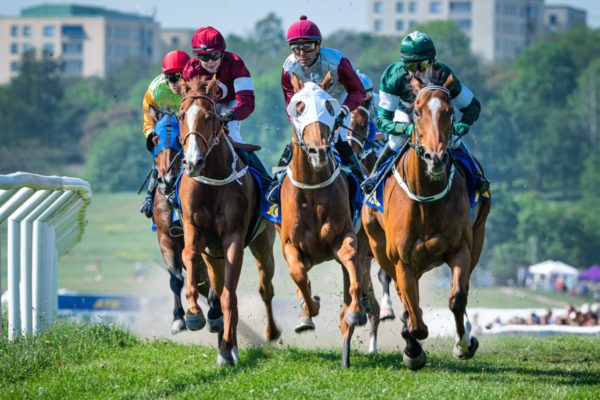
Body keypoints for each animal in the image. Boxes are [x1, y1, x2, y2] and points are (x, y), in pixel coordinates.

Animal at [146, 105, 219, 334]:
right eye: (155, 139)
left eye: (179, 139)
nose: (167, 180)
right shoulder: (166, 238)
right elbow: (176, 279)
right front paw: (178, 318)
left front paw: (213, 312)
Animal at [176, 74, 282, 366]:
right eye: (180, 115)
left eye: (210, 116)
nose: (193, 162)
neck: (212, 180)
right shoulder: (194, 230)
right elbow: (189, 255)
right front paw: (193, 313)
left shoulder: (234, 238)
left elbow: (229, 296)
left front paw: (225, 349)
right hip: (214, 257)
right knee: (221, 284)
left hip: (262, 245)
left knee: (264, 288)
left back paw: (267, 334)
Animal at [276, 73, 370, 368]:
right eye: (299, 107)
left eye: (329, 106)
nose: (318, 151)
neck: (312, 189)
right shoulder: (290, 245)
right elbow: (298, 275)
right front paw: (310, 309)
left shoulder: (345, 238)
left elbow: (352, 269)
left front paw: (355, 311)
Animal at [364, 71, 490, 368]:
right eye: (417, 111)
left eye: (449, 110)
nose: (436, 158)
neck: (426, 201)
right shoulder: (402, 260)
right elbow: (414, 313)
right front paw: (412, 348)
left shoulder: (460, 247)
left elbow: (457, 298)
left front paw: (463, 344)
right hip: (379, 247)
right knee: (403, 296)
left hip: (478, 236)